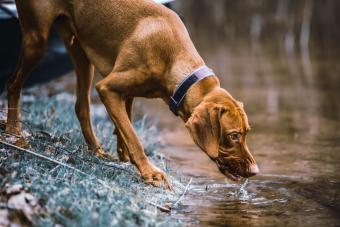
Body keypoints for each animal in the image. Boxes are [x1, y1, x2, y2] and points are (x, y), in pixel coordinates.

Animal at [4, 0, 258, 188]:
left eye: (246, 133)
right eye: (234, 135)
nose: (256, 171)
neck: (175, 61)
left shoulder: (125, 93)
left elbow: (124, 126)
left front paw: (123, 154)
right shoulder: (108, 88)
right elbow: (134, 137)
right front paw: (148, 171)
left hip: (80, 53)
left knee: (81, 106)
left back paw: (97, 151)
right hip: (37, 41)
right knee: (13, 84)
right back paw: (13, 131)